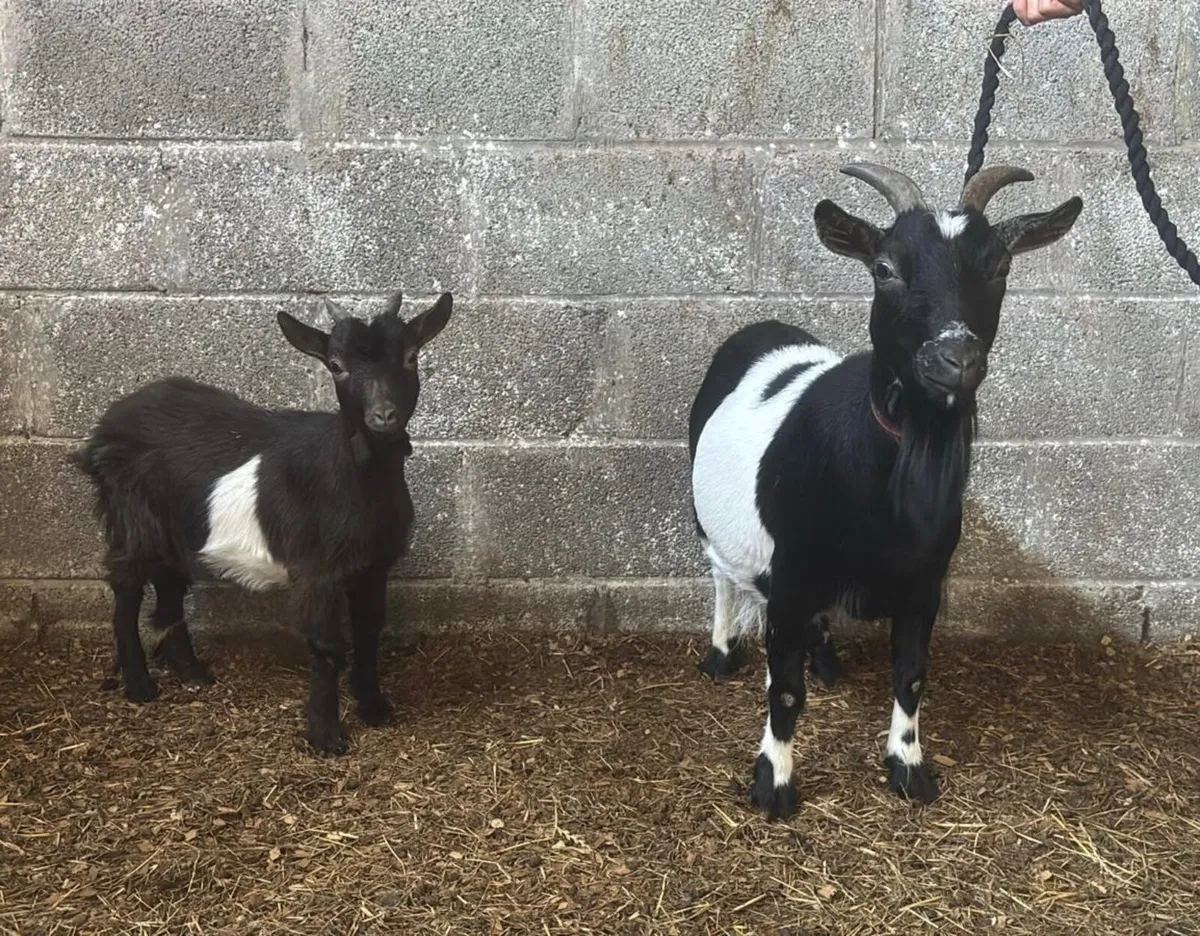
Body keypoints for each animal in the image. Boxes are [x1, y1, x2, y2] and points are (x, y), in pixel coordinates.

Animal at [74, 290, 453, 755]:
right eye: (335, 365)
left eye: (411, 356)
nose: (384, 415)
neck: (355, 472)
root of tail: (108, 424)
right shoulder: (316, 570)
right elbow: (327, 646)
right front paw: (326, 737)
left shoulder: (374, 565)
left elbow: (368, 632)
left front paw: (375, 708)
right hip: (131, 516)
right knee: (127, 586)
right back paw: (140, 685)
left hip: (174, 524)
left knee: (170, 583)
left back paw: (192, 673)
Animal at [689, 163, 1082, 818]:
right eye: (884, 268)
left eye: (999, 265)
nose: (955, 357)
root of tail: (762, 326)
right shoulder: (792, 574)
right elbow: (786, 691)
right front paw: (774, 784)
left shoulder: (924, 584)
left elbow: (912, 674)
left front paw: (908, 767)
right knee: (722, 574)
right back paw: (722, 655)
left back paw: (825, 660)